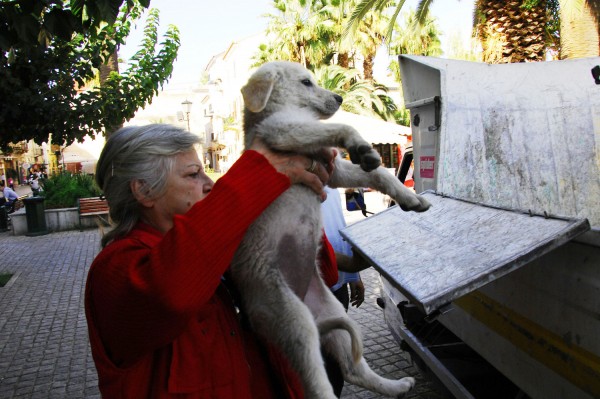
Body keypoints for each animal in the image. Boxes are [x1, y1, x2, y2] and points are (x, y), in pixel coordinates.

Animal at [227, 61, 428, 399]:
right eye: (306, 82)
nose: (339, 98)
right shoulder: (284, 131)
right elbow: (344, 128)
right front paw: (361, 146)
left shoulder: (332, 169)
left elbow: (378, 176)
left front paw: (410, 198)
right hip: (291, 318)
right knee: (317, 383)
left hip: (330, 310)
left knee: (352, 369)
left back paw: (395, 386)